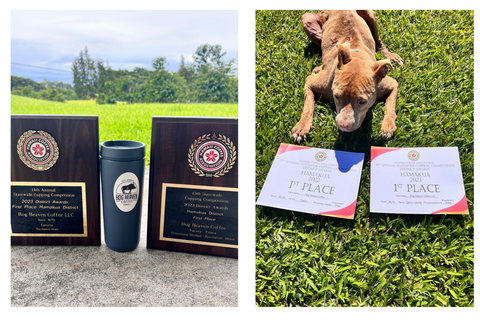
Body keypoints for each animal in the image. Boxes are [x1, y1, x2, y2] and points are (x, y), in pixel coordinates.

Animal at [292, 10, 402, 142]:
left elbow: (390, 105)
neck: (356, 57)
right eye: (336, 96)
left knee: (378, 41)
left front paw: (387, 126)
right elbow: (308, 106)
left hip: (370, 15)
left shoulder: (391, 84)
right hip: (307, 19)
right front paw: (302, 127)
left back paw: (391, 56)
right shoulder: (311, 82)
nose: (343, 126)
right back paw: (320, 67)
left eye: (362, 102)